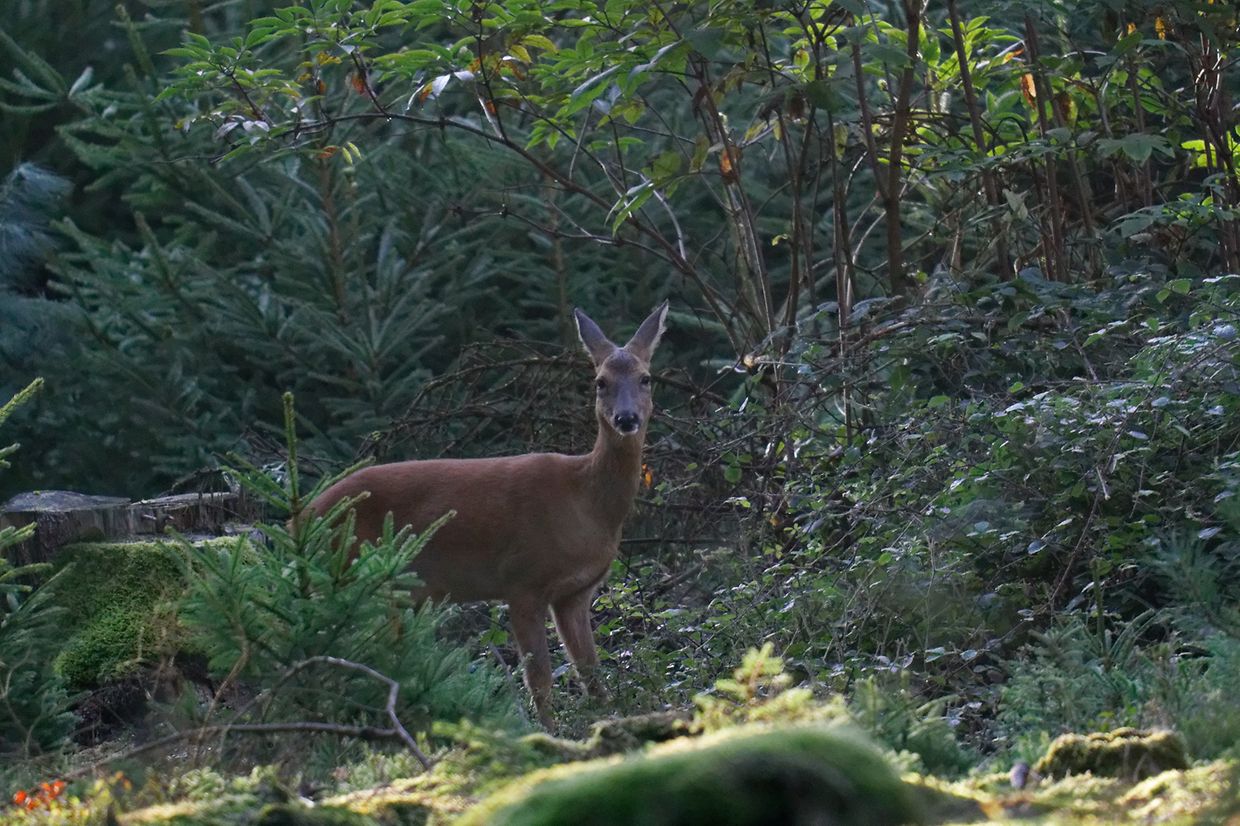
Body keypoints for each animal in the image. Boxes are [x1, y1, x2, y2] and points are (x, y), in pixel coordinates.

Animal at [308, 302, 669, 728]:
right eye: (600, 382)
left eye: (646, 378)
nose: (626, 419)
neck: (585, 503)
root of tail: (301, 516)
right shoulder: (522, 580)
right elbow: (540, 679)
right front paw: (549, 733)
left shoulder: (575, 593)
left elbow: (590, 672)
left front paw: (609, 721)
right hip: (356, 577)